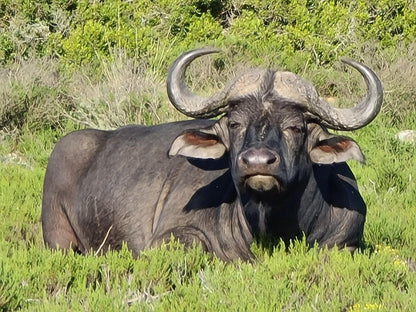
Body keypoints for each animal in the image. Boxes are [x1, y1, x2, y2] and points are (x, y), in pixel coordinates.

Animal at [42, 47, 384, 262]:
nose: (257, 162)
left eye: (295, 127)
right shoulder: (168, 237)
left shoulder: (347, 243)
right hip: (58, 237)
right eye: (234, 123)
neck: (271, 226)